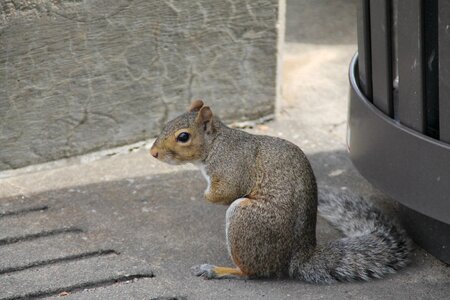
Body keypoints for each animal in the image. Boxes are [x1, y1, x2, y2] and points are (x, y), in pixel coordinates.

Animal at [149, 99, 410, 282]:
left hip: (245, 219)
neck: (216, 144)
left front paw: (205, 195)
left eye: (183, 137)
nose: (153, 153)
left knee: (252, 272)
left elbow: (225, 192)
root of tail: (297, 257)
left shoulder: (231, 168)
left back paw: (219, 270)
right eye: (165, 125)